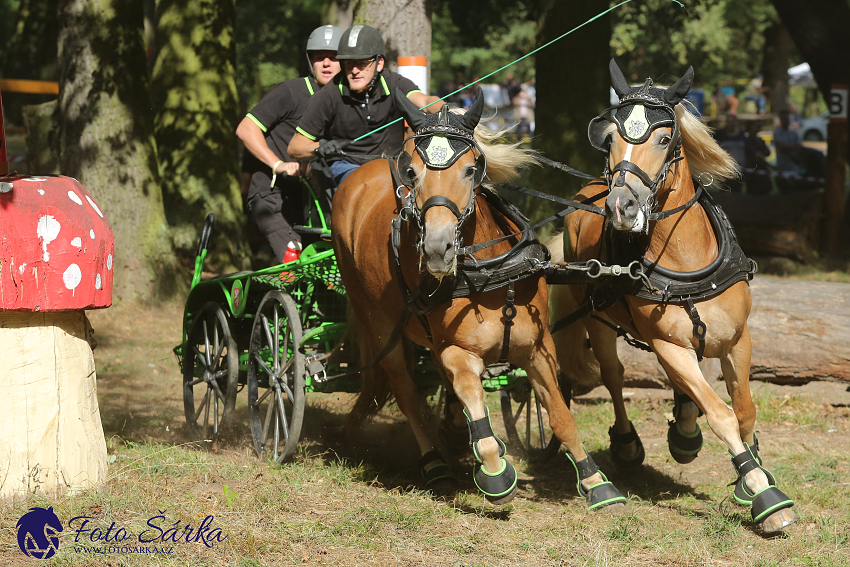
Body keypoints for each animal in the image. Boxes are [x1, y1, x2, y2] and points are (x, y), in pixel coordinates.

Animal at [332, 90, 624, 510]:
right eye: (412, 173)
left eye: (471, 169)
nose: (437, 250)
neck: (492, 278)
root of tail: (358, 176)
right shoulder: (457, 351)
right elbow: (475, 404)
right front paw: (494, 471)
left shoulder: (538, 348)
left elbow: (559, 413)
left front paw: (595, 480)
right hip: (378, 321)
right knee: (406, 392)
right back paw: (435, 461)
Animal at [548, 60, 796, 536]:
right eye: (611, 138)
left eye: (664, 139)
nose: (620, 207)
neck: (686, 261)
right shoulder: (668, 345)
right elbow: (721, 413)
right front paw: (764, 494)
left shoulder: (738, 339)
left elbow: (744, 408)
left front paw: (751, 473)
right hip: (598, 319)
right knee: (613, 375)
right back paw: (627, 444)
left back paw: (683, 428)